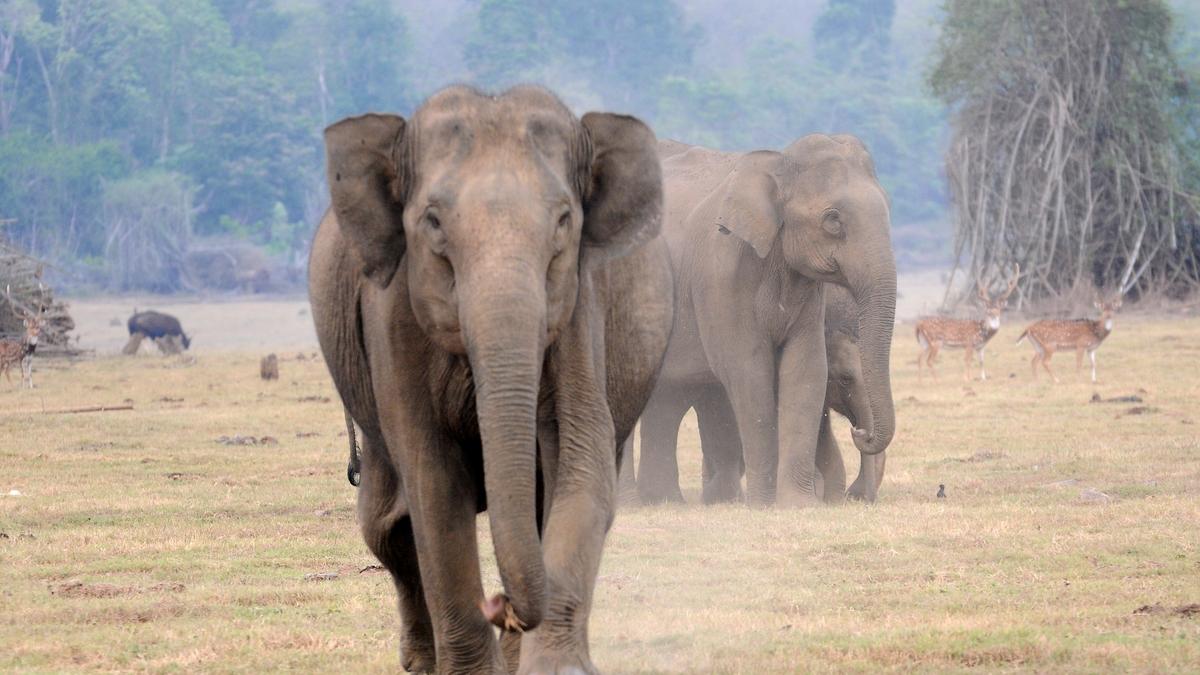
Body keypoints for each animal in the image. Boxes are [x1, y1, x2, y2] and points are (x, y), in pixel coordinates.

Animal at [308, 85, 673, 674]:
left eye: (564, 221)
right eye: (433, 222)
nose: (503, 606)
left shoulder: (580, 303)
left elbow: (580, 460)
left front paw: (557, 668)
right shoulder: (393, 312)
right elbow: (433, 480)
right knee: (386, 527)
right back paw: (422, 662)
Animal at [635, 134, 897, 508]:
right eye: (833, 219)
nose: (860, 431)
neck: (777, 164)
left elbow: (806, 370)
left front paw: (800, 505)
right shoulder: (721, 274)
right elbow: (748, 370)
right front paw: (762, 504)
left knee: (669, 397)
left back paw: (664, 501)